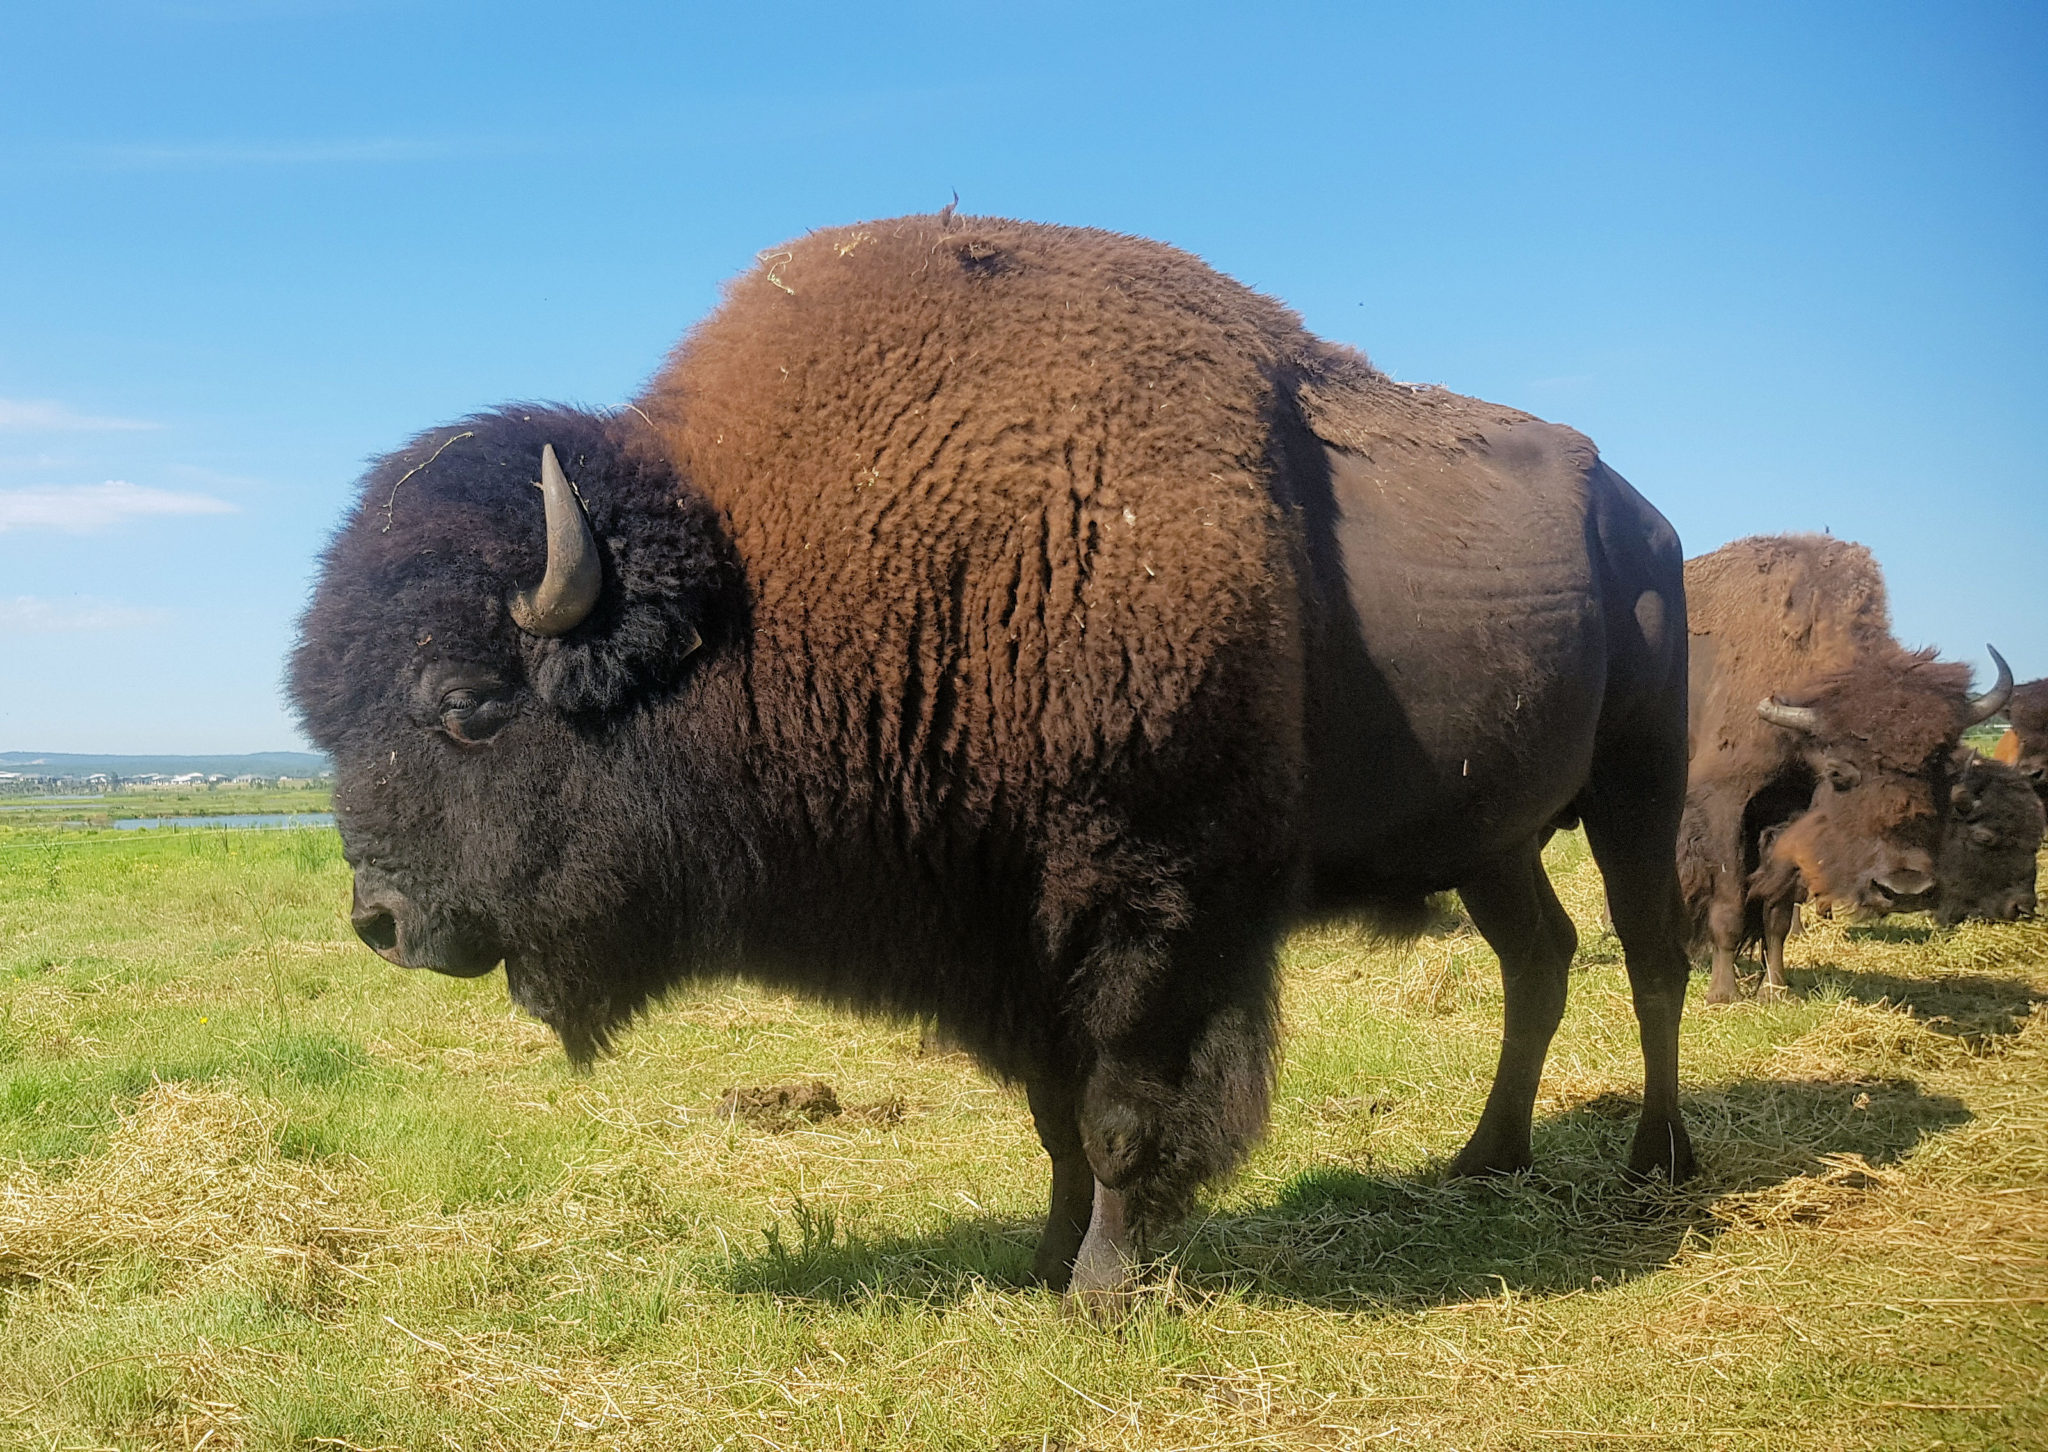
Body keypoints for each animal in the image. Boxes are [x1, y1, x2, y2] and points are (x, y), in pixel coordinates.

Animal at [288, 209, 1695, 1294]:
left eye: (470, 707)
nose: (381, 920)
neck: (768, 590)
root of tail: (1643, 516)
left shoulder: (1150, 904)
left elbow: (1122, 1110)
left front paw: (1103, 1288)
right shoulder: (1006, 935)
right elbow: (1054, 1116)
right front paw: (1041, 1258)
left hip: (1638, 786)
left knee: (1650, 964)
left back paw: (1655, 1166)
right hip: (1490, 837)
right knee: (1539, 958)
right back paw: (1485, 1156)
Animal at [1679, 532, 2015, 995]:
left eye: (1942, 767)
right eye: (1839, 773)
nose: (1905, 887)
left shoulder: (1789, 814)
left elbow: (1777, 911)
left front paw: (1775, 990)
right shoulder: (1724, 801)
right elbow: (1728, 903)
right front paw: (1723, 995)